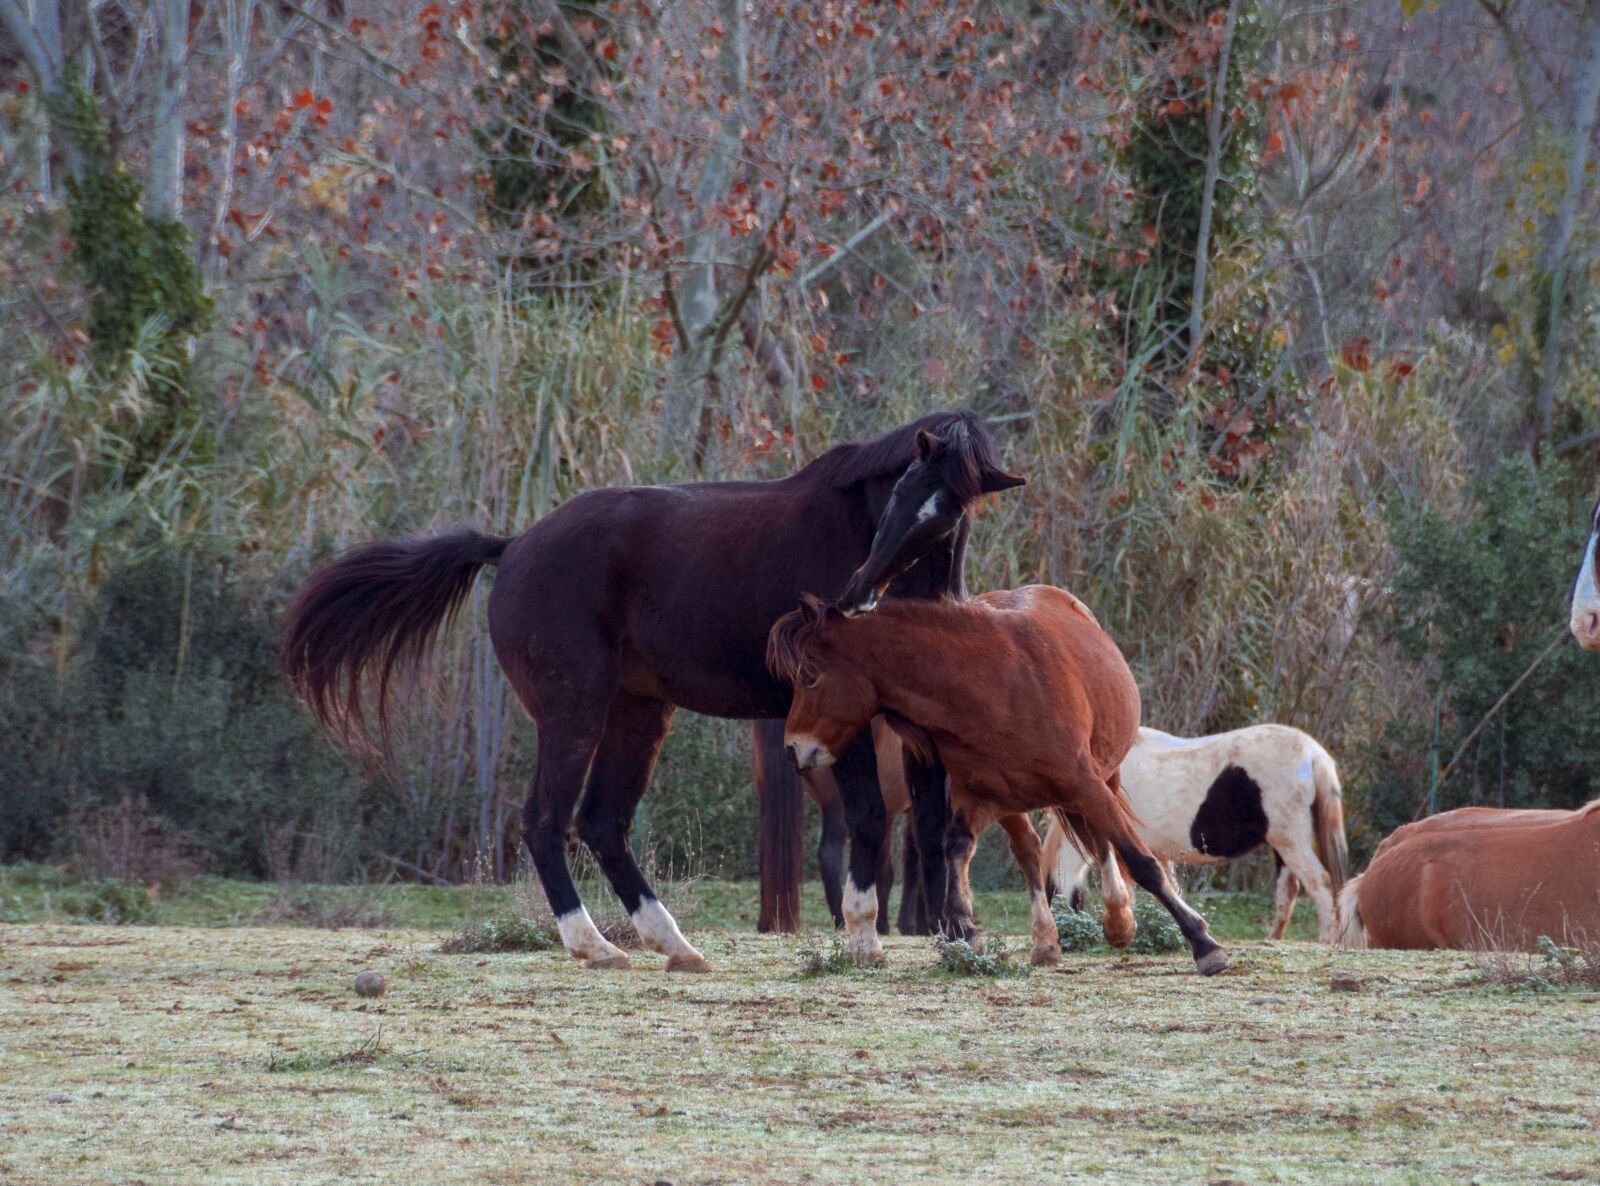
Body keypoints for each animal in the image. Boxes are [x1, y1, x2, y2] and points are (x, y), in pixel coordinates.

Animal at [282, 412, 1025, 971]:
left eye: (944, 511)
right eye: (897, 494)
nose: (854, 596)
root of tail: (514, 545)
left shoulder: (918, 725)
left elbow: (935, 825)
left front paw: (958, 934)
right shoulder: (851, 723)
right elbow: (872, 818)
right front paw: (865, 936)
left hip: (638, 712)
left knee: (602, 823)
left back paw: (673, 944)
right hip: (574, 711)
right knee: (546, 820)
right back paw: (595, 946)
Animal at [769, 587, 1231, 974]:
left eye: (810, 676)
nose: (792, 748)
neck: (990, 687)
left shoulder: (1086, 784)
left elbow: (1141, 861)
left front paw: (1204, 944)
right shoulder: (975, 796)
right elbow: (955, 848)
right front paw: (966, 932)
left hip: (1104, 778)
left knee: (1102, 843)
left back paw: (1118, 918)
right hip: (1015, 800)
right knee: (1030, 851)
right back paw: (1049, 941)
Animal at [1041, 725, 1350, 942]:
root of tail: (1314, 754)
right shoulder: (1159, 854)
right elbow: (1168, 889)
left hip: (1291, 842)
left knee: (1320, 884)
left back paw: (1326, 940)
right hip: (1283, 845)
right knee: (1289, 890)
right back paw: (1273, 939)